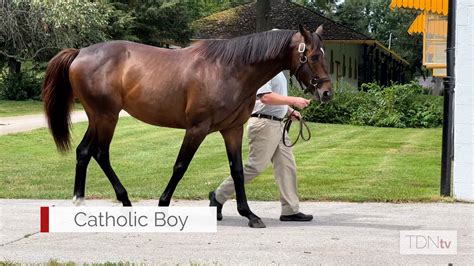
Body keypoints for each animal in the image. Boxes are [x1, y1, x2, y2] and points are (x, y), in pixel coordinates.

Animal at [42, 25, 332, 228]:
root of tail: (80, 52)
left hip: (97, 117)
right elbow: (180, 166)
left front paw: (249, 214)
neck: (229, 69)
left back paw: (80, 199)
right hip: (106, 116)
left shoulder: (233, 129)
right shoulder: (197, 128)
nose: (327, 93)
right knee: (100, 153)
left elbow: (238, 171)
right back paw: (124, 200)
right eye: (312, 56)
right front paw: (163, 205)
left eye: (324, 54)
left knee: (84, 151)